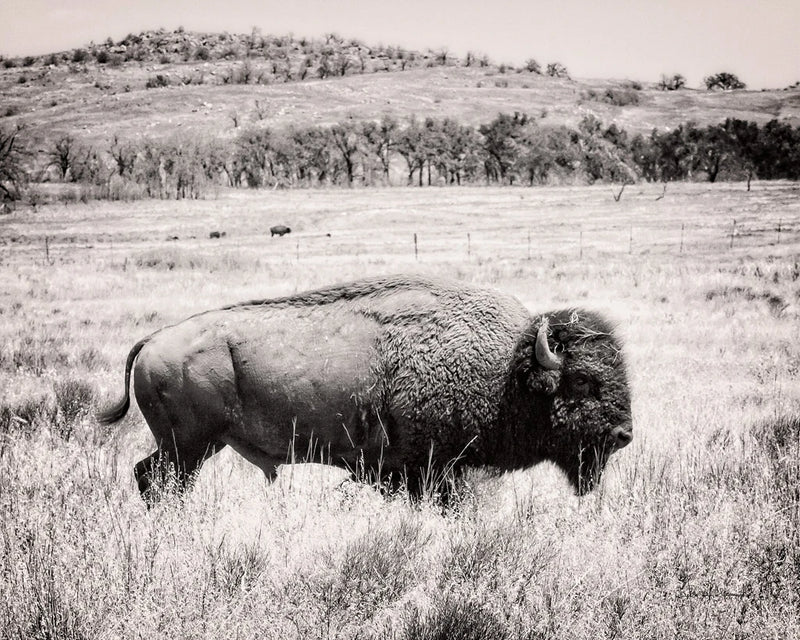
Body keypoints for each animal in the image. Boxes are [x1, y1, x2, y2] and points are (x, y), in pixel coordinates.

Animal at [98, 275, 632, 503]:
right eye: (583, 380)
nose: (624, 434)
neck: (506, 370)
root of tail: (154, 340)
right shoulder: (429, 470)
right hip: (188, 447)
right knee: (157, 480)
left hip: (191, 447)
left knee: (146, 475)